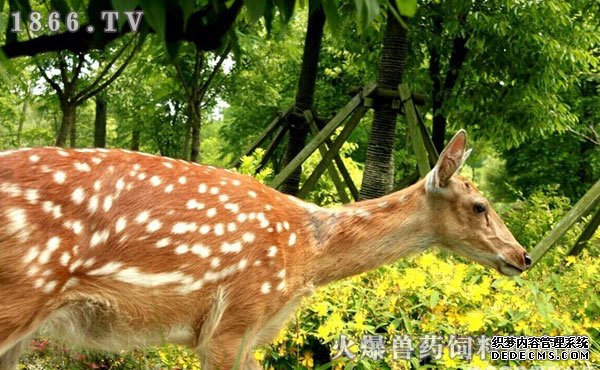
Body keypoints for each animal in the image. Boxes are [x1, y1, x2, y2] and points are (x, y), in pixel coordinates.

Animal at [0, 130, 528, 368]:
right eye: (480, 206)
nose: (522, 256)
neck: (307, 257)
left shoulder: (247, 335)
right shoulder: (233, 320)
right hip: (21, 292)